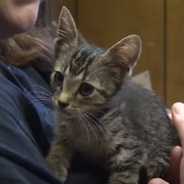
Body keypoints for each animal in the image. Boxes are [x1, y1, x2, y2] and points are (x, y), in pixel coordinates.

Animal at [46, 5, 180, 184]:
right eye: (59, 78)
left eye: (86, 89)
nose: (62, 102)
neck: (83, 121)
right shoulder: (64, 131)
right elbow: (59, 145)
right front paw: (53, 165)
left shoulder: (131, 150)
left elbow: (123, 177)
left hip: (158, 157)